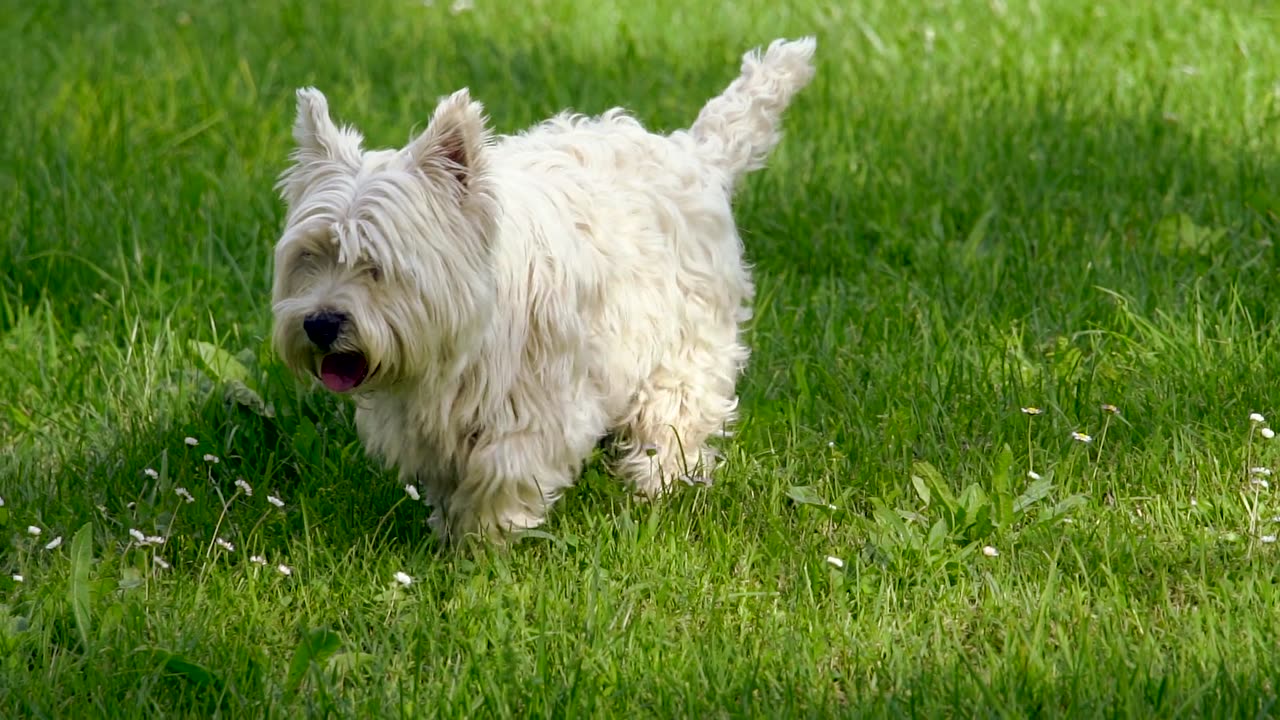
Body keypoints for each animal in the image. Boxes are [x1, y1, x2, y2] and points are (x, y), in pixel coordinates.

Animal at [272, 35, 819, 538]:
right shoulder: (426, 419)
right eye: (310, 256)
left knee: (675, 415)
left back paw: (655, 482)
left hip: (685, 343)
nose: (320, 324)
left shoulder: (540, 403)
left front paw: (483, 542)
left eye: (376, 266)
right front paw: (450, 532)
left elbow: (502, 468)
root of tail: (691, 153)